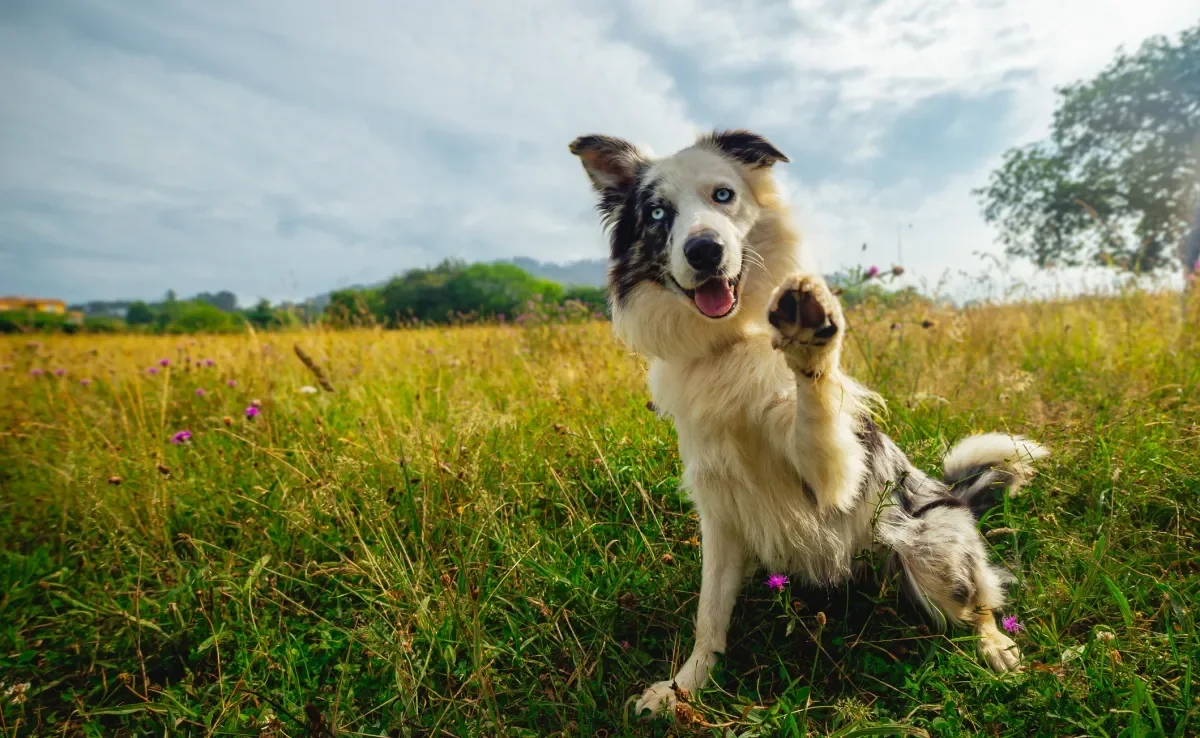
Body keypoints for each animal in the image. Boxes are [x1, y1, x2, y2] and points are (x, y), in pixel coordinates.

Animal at [566, 128, 1046, 715]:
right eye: (658, 213)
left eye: (723, 195)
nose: (705, 251)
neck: (730, 344)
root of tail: (955, 497)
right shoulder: (719, 510)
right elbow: (709, 614)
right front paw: (684, 687)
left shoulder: (832, 475)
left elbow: (815, 406)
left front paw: (809, 337)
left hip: (929, 550)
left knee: (978, 602)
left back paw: (995, 644)